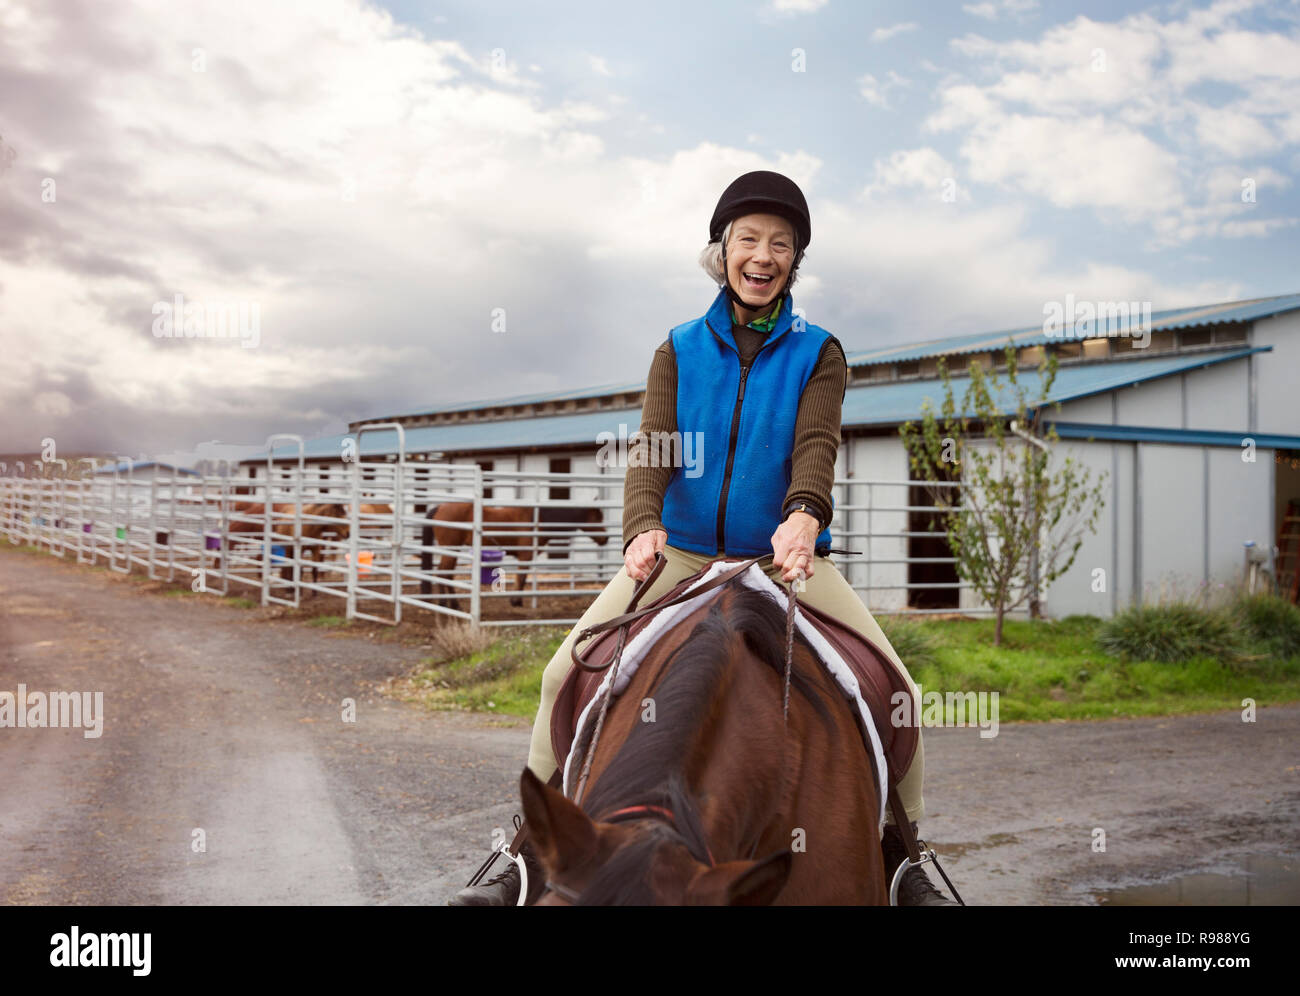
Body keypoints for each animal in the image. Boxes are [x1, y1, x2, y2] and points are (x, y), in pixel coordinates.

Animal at [423, 504, 611, 613]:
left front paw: (516, 600)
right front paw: (516, 601)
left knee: (446, 574)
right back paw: (446, 604)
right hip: (450, 548)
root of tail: (439, 508)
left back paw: (451, 604)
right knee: (442, 573)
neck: (538, 519)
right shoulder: (525, 556)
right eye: (597, 518)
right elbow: (521, 578)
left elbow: (523, 578)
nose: (606, 538)